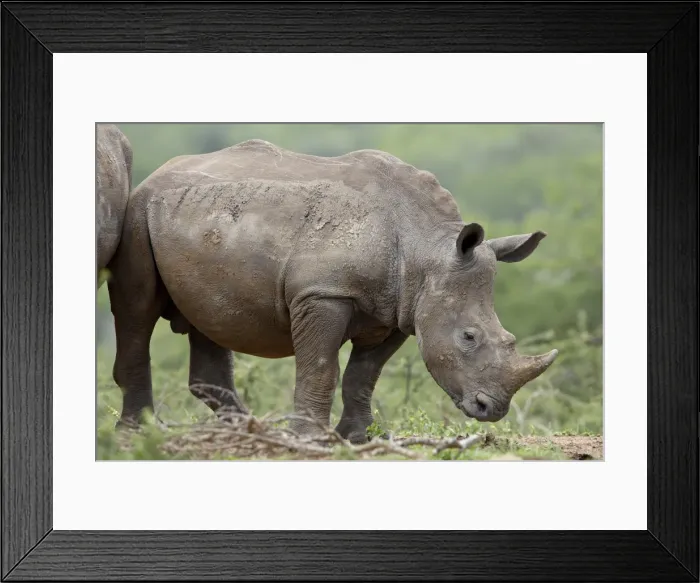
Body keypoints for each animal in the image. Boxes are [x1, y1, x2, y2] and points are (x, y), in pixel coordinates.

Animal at [107, 139, 558, 442]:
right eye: (468, 337)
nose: (491, 409)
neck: (426, 251)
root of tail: (157, 173)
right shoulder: (323, 293)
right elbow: (322, 367)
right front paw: (310, 439)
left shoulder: (398, 309)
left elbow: (363, 375)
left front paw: (360, 437)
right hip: (138, 213)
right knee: (136, 309)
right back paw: (139, 432)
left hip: (201, 221)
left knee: (209, 317)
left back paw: (247, 430)